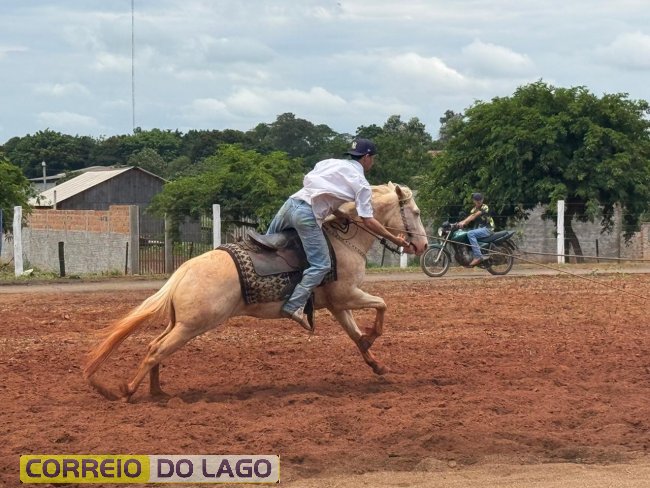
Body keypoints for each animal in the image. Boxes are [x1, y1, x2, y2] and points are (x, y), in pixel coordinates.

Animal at [84, 183, 428, 401]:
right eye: (416, 211)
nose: (423, 245)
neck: (344, 240)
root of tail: (184, 271)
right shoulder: (348, 295)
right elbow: (382, 305)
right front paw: (374, 336)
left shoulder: (337, 304)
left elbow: (356, 336)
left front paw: (376, 362)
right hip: (192, 325)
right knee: (157, 350)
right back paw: (128, 391)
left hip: (180, 323)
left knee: (155, 346)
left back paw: (157, 392)